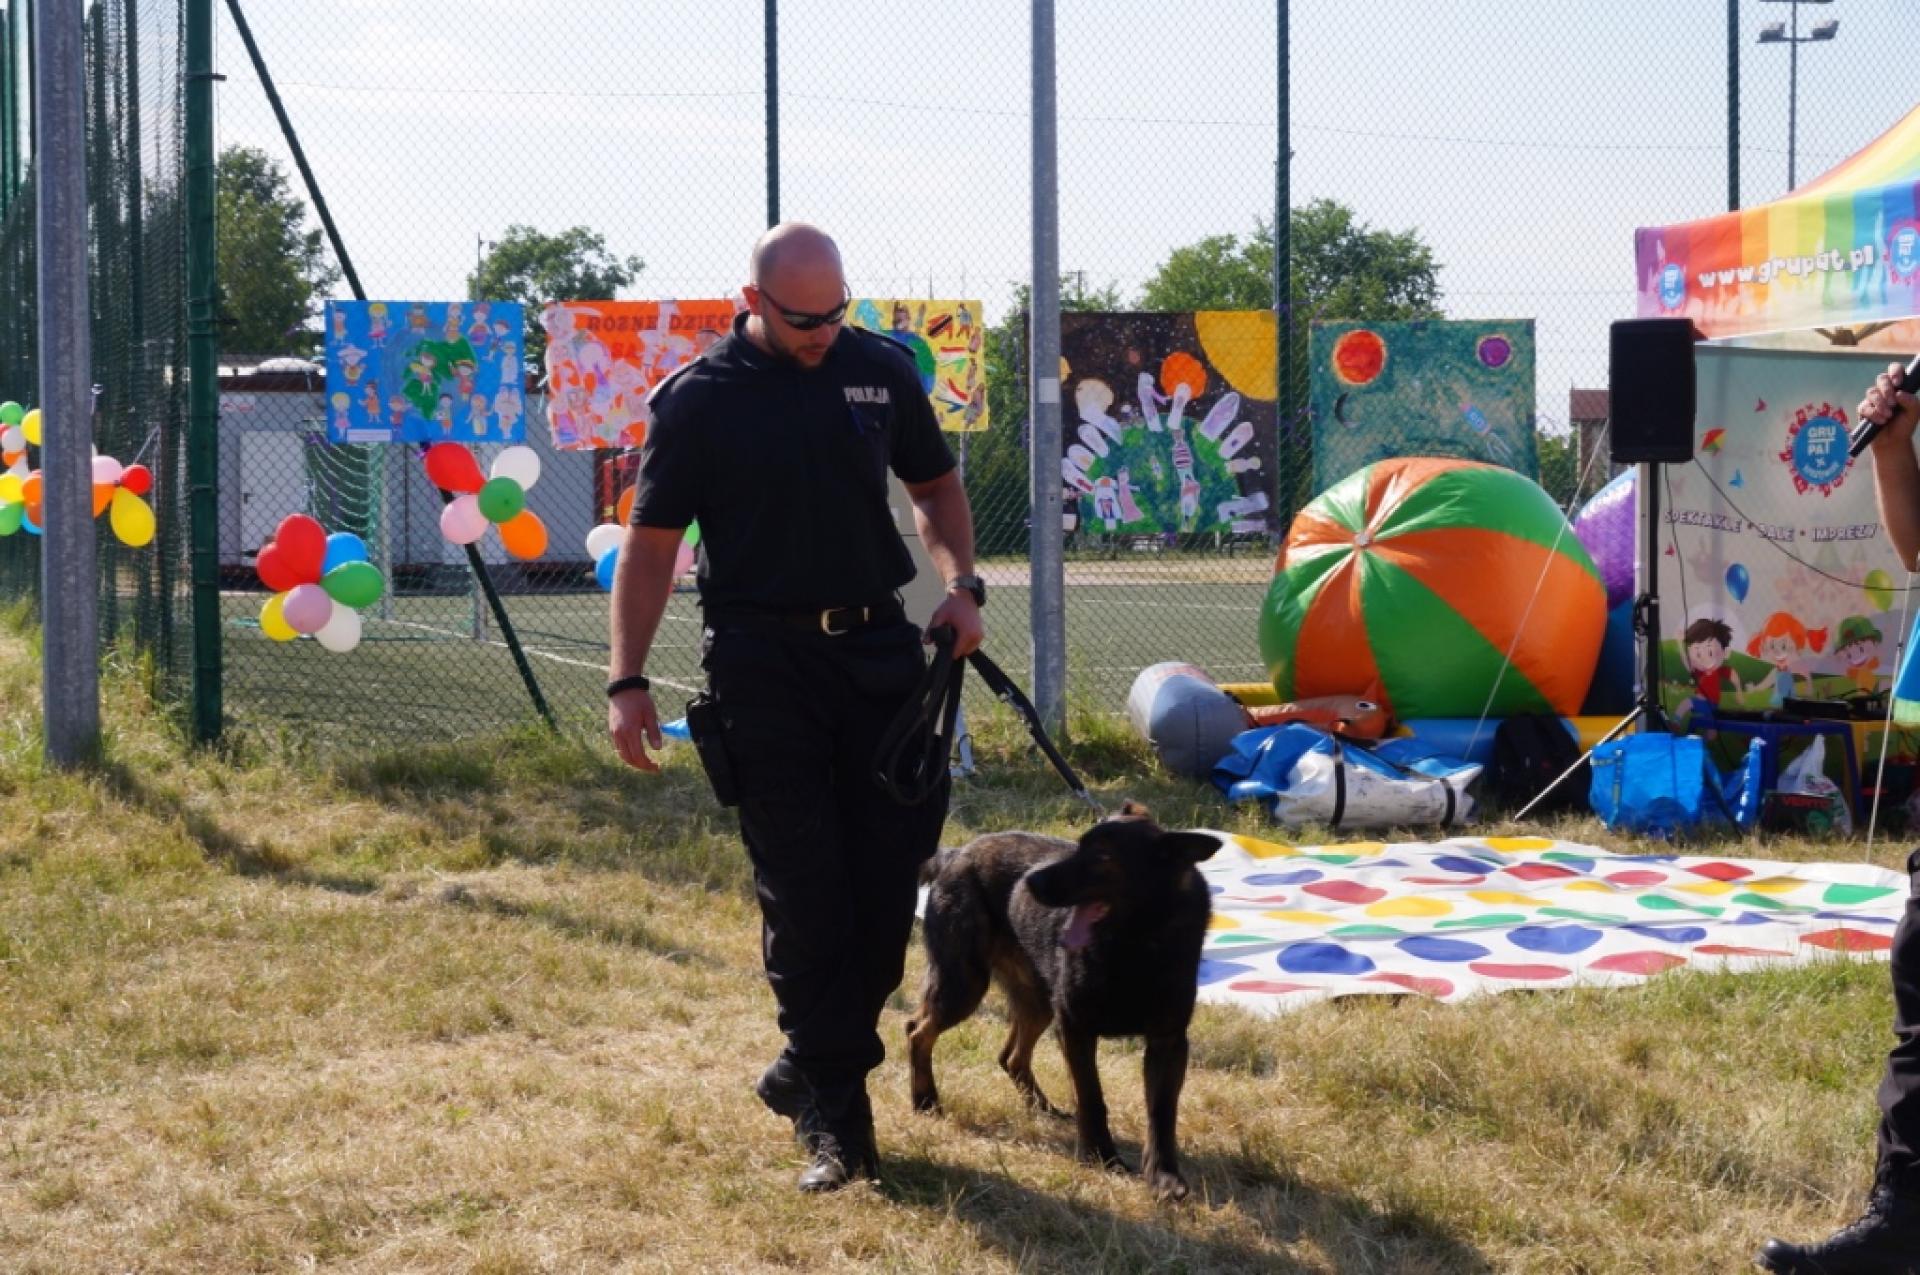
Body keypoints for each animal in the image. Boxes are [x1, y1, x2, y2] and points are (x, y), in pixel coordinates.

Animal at [907, 802, 1223, 1200]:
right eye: (1079, 846)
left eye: (1102, 857)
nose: (1028, 882)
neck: (1132, 943)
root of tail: (955, 854)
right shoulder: (1075, 1028)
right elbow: (1091, 1097)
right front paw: (1101, 1157)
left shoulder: (1168, 1042)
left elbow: (1162, 1114)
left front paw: (1164, 1177)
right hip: (963, 986)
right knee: (917, 1030)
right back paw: (925, 1101)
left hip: (1037, 1003)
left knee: (1010, 1057)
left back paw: (1044, 1110)